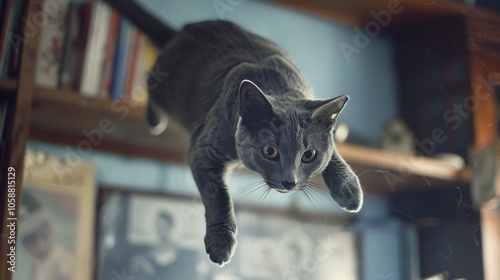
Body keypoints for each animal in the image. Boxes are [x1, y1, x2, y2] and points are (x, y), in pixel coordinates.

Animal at [146, 20, 362, 266]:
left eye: (309, 155)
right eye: (270, 151)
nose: (289, 182)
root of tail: (184, 28)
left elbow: (333, 152)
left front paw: (349, 190)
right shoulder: (205, 149)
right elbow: (218, 195)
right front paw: (221, 243)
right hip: (167, 88)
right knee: (149, 80)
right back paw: (154, 120)